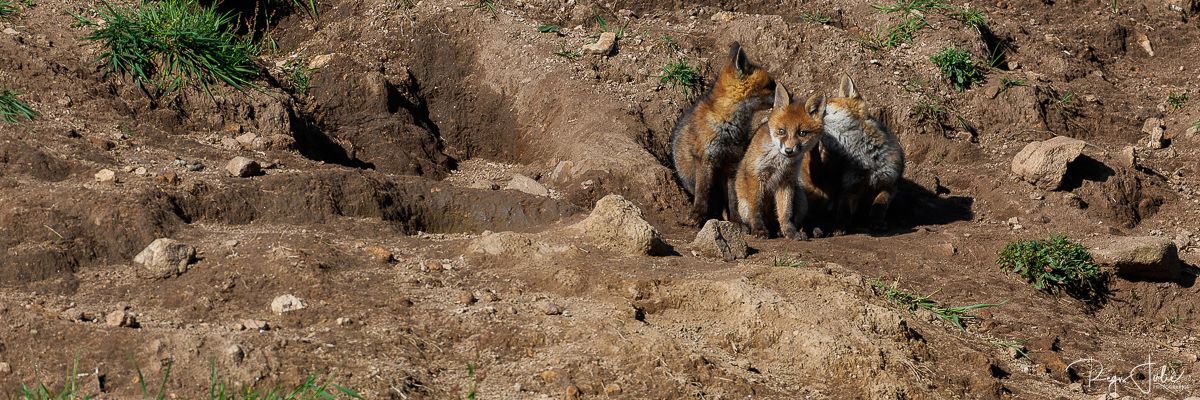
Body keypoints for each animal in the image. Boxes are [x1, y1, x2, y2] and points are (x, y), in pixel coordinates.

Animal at [672, 42, 772, 227]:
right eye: (771, 85)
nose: (790, 95)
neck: (728, 127)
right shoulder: (706, 159)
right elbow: (703, 193)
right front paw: (698, 215)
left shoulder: (731, 164)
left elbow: (733, 200)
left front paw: (737, 222)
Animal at [729, 84, 825, 237]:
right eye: (782, 131)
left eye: (802, 133)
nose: (789, 150)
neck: (779, 163)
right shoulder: (756, 177)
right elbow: (756, 209)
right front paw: (759, 229)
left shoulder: (786, 181)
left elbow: (785, 212)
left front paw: (790, 231)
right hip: (743, 206)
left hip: (800, 199)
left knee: (798, 219)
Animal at [806, 73, 902, 234]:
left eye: (824, 105)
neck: (867, 159)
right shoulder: (849, 188)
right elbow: (844, 212)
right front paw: (840, 227)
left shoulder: (890, 184)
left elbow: (880, 205)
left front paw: (876, 222)